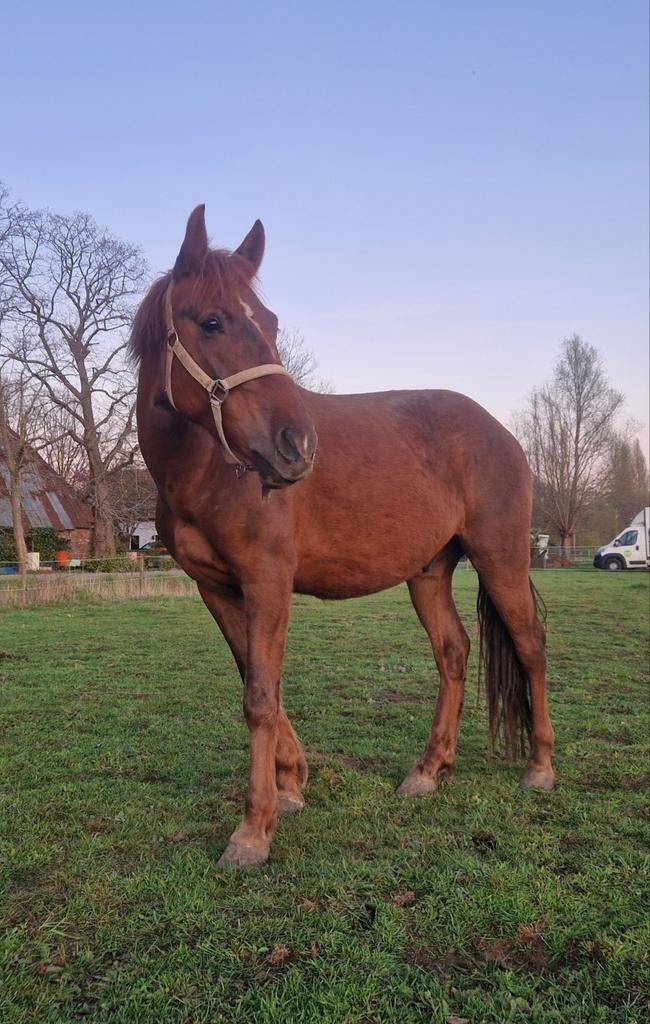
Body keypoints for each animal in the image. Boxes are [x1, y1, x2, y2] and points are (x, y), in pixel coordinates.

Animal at [130, 205, 555, 869]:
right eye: (212, 321)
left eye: (271, 322)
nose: (296, 445)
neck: (204, 469)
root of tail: (500, 432)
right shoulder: (217, 589)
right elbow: (257, 683)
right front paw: (291, 783)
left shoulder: (268, 580)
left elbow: (259, 696)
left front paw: (253, 830)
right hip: (429, 572)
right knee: (454, 652)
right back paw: (428, 772)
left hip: (501, 558)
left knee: (530, 645)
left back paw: (539, 768)